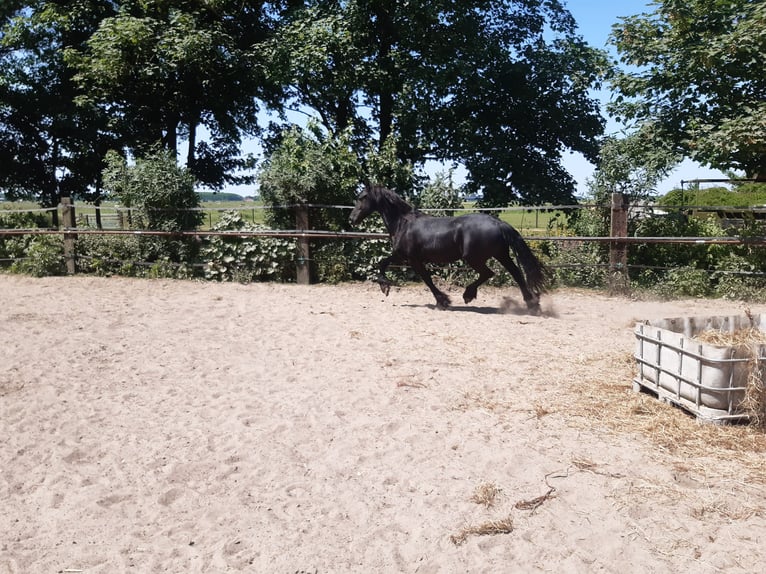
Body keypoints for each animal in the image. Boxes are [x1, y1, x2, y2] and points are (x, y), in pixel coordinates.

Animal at [352, 187, 548, 312]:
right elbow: (383, 263)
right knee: (516, 273)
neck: (403, 223)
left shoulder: (413, 259)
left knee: (489, 273)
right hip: (500, 254)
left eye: (362, 197)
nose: (351, 218)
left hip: (474, 258)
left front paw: (443, 301)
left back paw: (468, 295)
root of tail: (498, 223)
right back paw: (532, 304)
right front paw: (385, 287)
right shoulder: (402, 257)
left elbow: (427, 280)